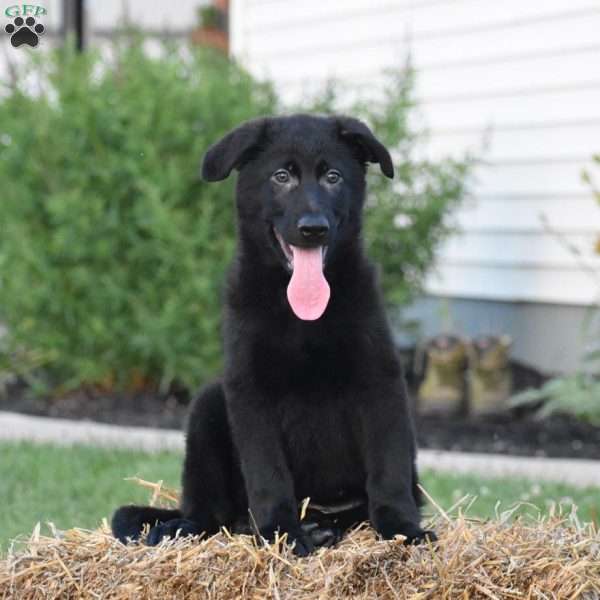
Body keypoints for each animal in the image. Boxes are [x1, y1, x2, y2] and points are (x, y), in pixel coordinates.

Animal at [110, 115, 434, 556]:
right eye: (281, 176)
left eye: (333, 176)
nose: (313, 229)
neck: (303, 316)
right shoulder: (249, 391)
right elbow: (268, 476)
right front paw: (282, 533)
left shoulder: (379, 381)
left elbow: (390, 468)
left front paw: (403, 529)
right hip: (208, 407)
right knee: (214, 514)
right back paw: (188, 527)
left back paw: (321, 525)